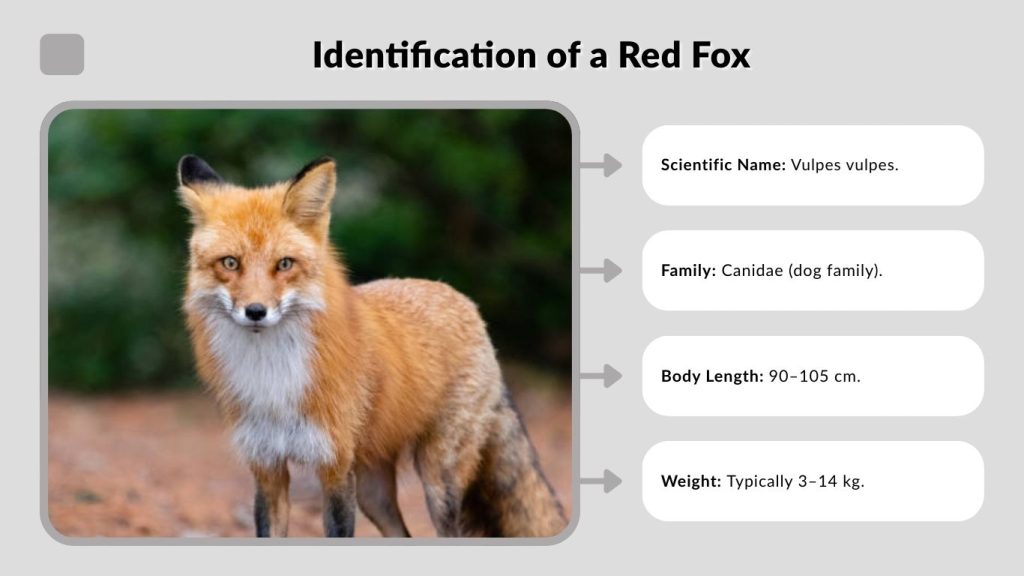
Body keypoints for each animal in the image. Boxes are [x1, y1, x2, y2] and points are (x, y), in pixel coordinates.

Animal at [177, 154, 567, 538]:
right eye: (230, 263)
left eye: (284, 264)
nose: (256, 311)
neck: (272, 377)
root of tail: (462, 300)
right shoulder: (266, 467)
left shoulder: (335, 469)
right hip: (373, 492)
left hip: (437, 482)